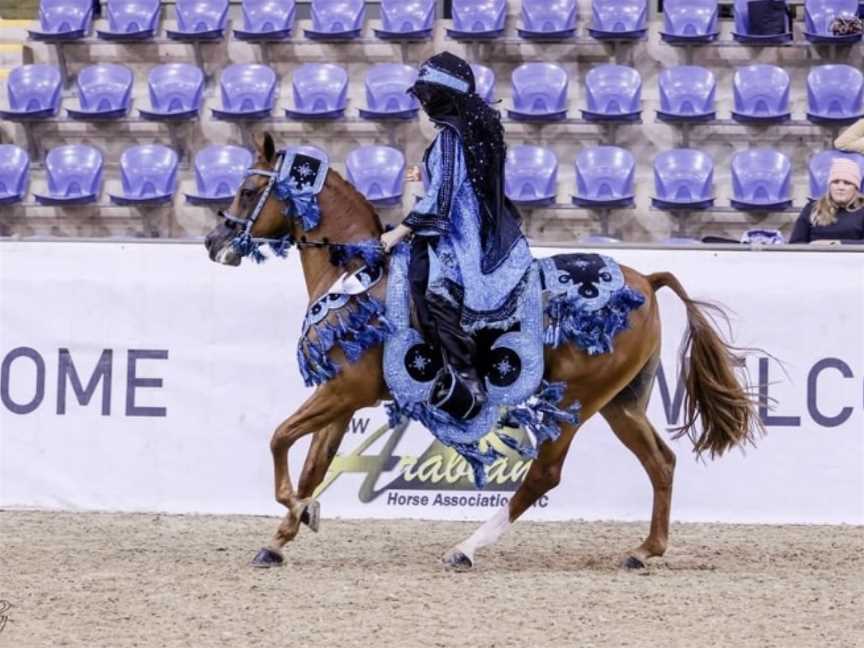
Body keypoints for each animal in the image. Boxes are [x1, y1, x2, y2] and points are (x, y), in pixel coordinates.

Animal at [206, 134, 760, 568]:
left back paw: (466, 548)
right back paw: (645, 550)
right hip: (621, 403)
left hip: (574, 402)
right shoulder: (341, 399)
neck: (362, 276)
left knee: (545, 475)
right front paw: (282, 537)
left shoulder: (345, 392)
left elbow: (279, 439)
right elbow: (313, 465)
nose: (215, 240)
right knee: (661, 463)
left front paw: (300, 511)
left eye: (249, 190)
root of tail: (647, 277)